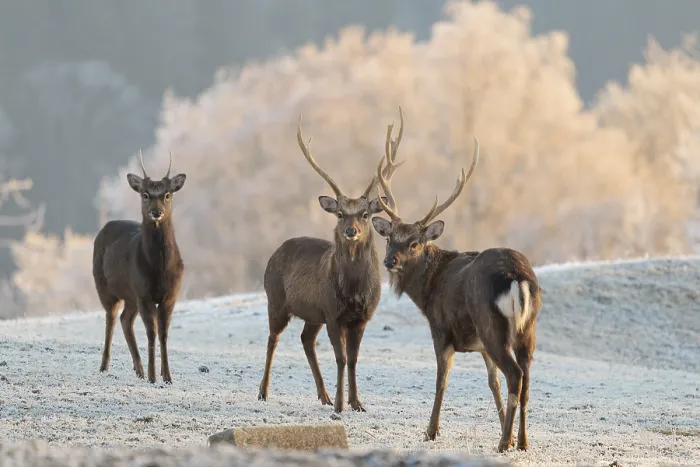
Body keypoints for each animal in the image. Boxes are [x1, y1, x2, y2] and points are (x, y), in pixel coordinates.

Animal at [92, 150, 186, 384]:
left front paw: (167, 377)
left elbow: (164, 333)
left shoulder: (171, 295)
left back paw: (139, 368)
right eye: (145, 194)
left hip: (130, 296)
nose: (156, 212)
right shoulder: (143, 293)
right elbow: (151, 332)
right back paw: (105, 366)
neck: (160, 270)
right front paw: (154, 377)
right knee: (111, 319)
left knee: (126, 319)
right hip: (105, 289)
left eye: (167, 194)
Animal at [257, 109, 404, 413]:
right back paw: (263, 392)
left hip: (313, 314)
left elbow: (354, 359)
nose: (351, 231)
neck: (354, 292)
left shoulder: (361, 318)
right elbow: (341, 358)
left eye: (364, 214)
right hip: (275, 299)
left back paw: (322, 395)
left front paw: (356, 402)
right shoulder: (333, 313)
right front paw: (340, 405)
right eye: (339, 214)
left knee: (306, 339)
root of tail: (275, 251)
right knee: (272, 339)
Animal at [371, 138, 542, 452]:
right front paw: (509, 432)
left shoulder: (441, 330)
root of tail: (517, 277)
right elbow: (493, 383)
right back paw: (522, 442)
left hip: (491, 324)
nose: (390, 261)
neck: (428, 290)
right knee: (525, 379)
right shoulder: (481, 348)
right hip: (528, 329)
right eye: (389, 238)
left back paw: (502, 444)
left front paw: (430, 431)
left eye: (414, 243)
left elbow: (442, 381)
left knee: (515, 375)